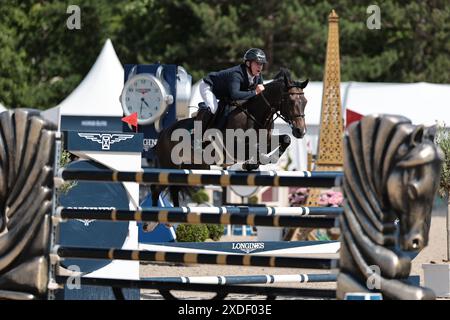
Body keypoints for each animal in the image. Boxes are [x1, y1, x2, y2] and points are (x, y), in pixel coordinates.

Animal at [149, 68, 308, 208]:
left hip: (192, 167)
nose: (301, 131)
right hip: (169, 166)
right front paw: (252, 163)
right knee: (157, 188)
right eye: (290, 101)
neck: (255, 115)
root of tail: (162, 134)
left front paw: (263, 160)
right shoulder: (233, 147)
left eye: (305, 101)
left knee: (174, 188)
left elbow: (285, 139)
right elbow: (254, 149)